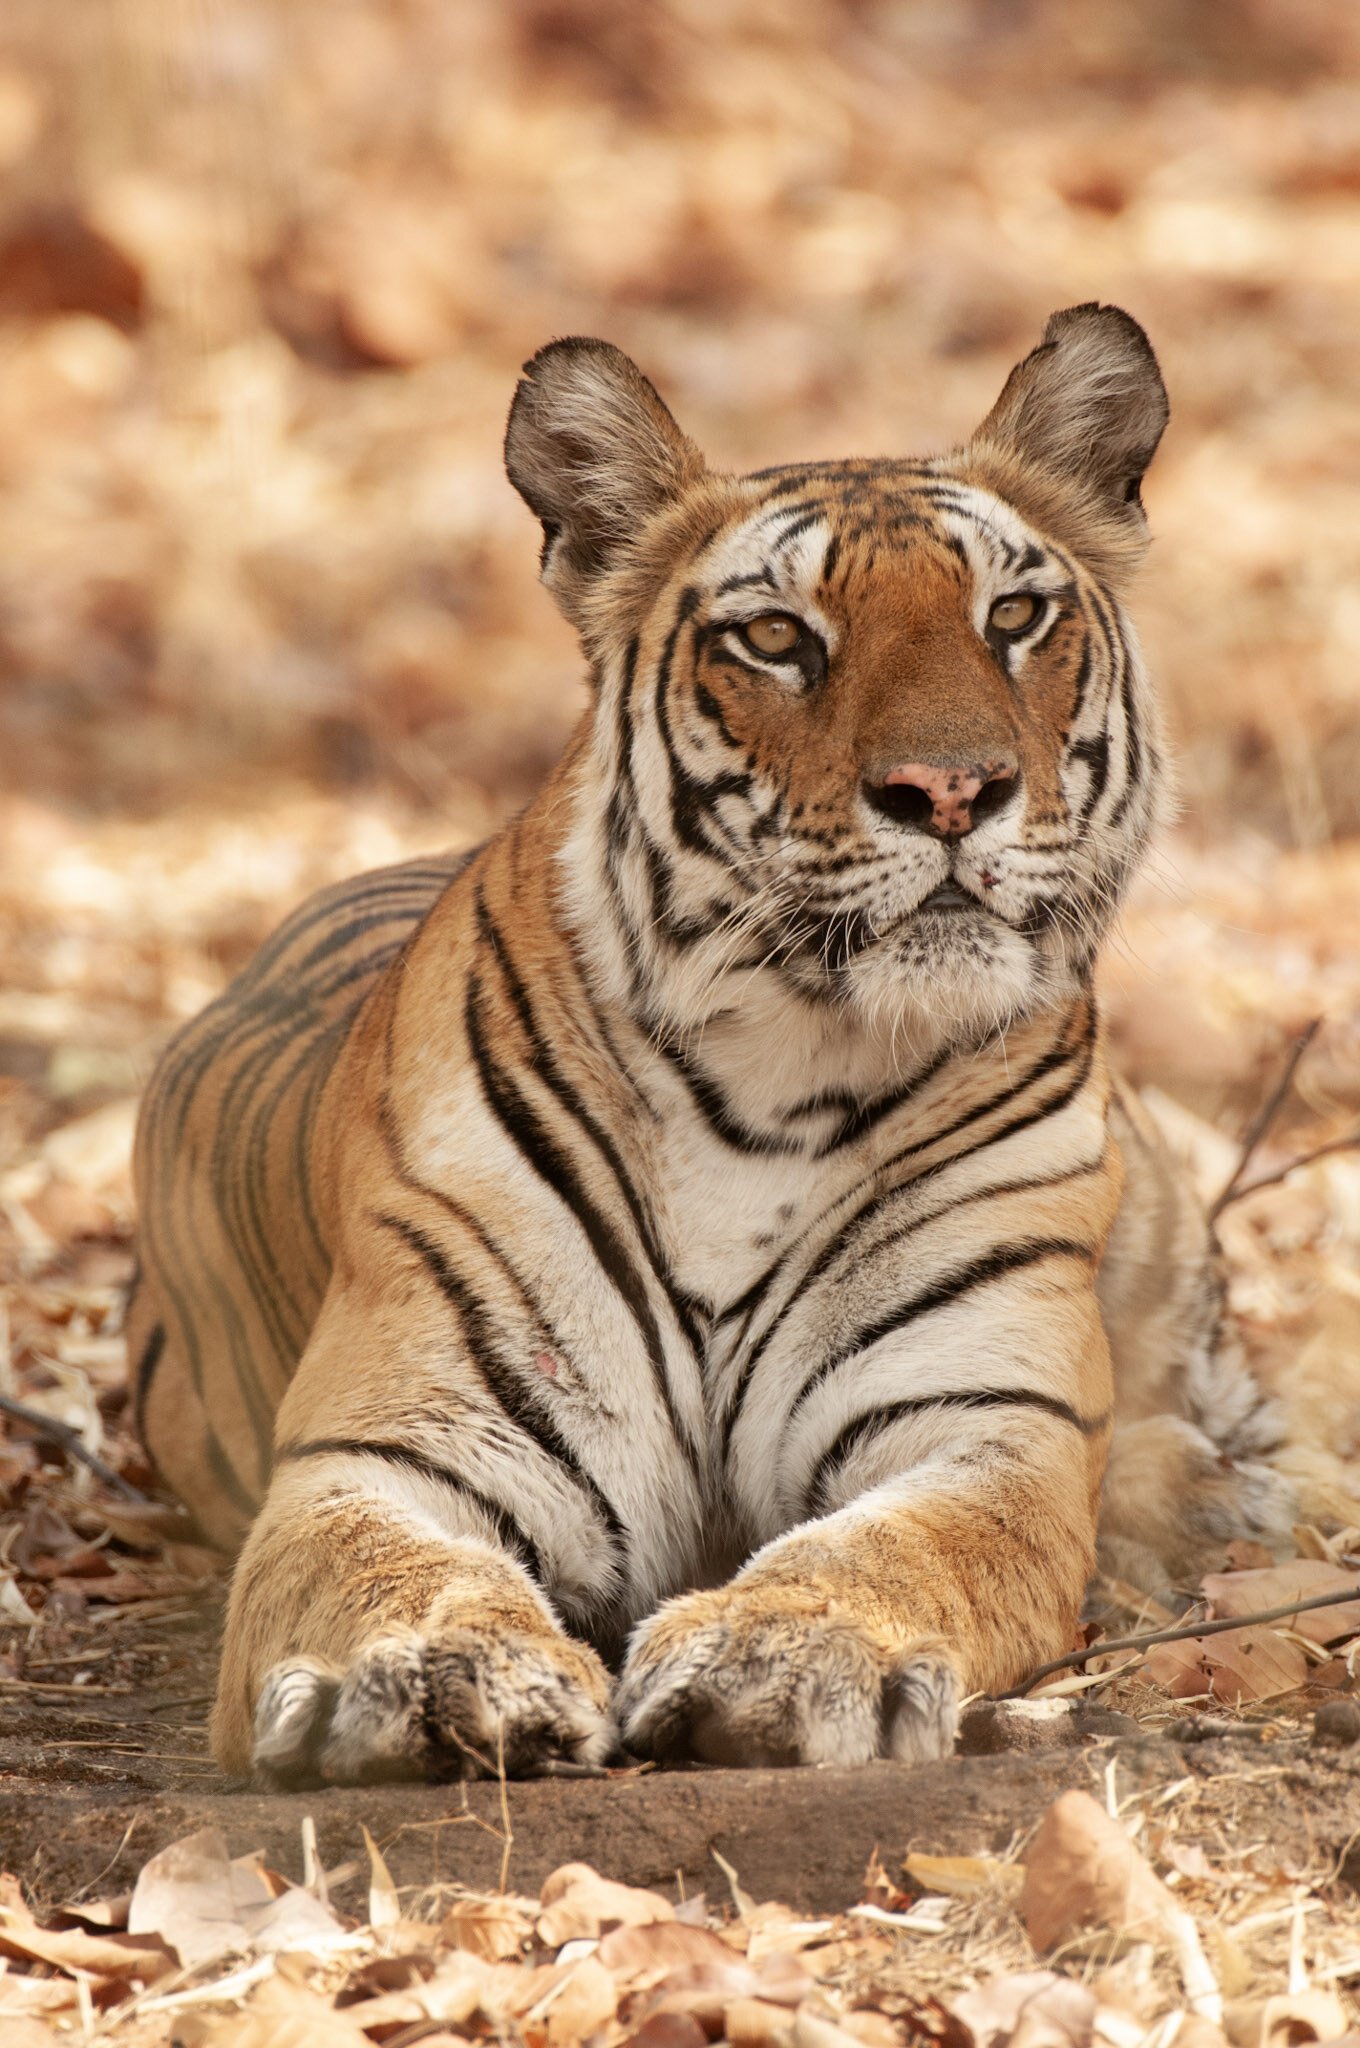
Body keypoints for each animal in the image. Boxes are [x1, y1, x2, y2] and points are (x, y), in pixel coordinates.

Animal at [128, 304, 1292, 1783]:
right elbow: (384, 1567)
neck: (778, 1080)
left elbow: (891, 1551)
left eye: (1014, 616)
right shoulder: (395, 1443)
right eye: (779, 637)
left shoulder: (985, 1425)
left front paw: (777, 1654)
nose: (952, 790)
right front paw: (433, 1671)